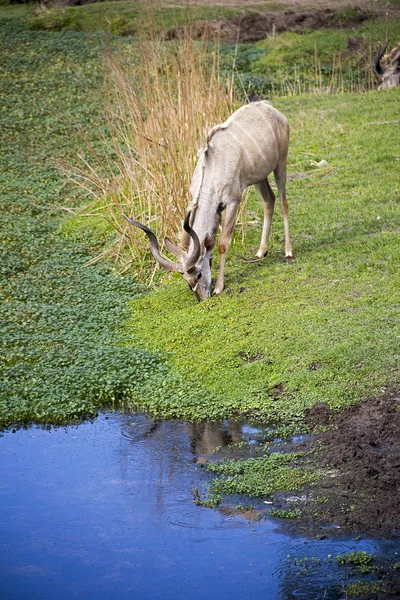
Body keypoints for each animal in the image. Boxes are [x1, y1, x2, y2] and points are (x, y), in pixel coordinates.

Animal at [123, 102, 292, 304]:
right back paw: (261, 252)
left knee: (283, 202)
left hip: (280, 164)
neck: (212, 169)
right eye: (187, 281)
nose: (202, 298)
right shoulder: (216, 210)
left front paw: (219, 287)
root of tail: (272, 109)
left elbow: (223, 243)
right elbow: (210, 244)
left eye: (198, 274)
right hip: (259, 177)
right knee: (269, 200)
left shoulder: (233, 201)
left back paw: (288, 251)